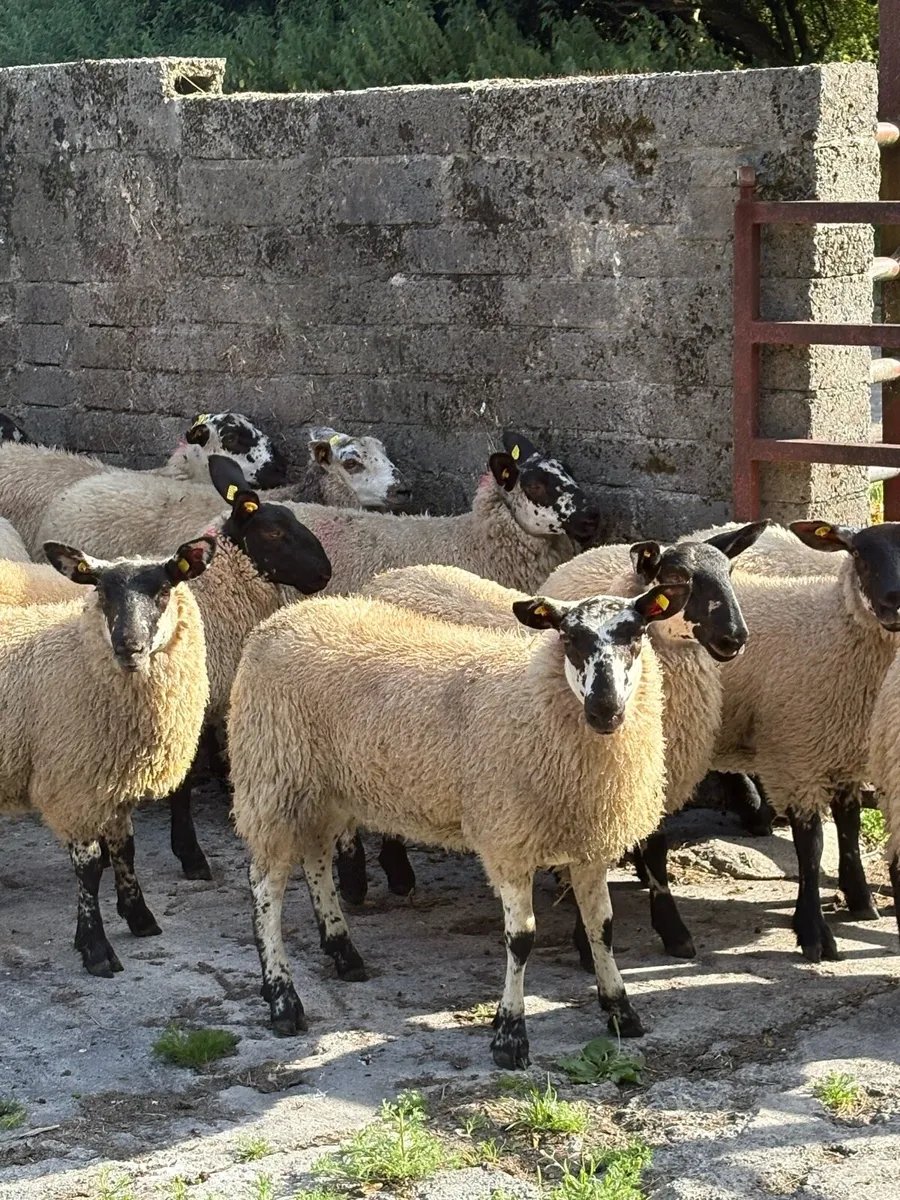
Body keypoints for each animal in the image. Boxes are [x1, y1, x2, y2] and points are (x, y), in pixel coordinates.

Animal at [0, 535, 215, 976]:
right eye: (101, 592)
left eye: (164, 590)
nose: (128, 647)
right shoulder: (74, 785)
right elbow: (88, 867)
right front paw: (95, 947)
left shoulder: (113, 782)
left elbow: (124, 849)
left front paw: (139, 916)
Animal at [228, 582, 691, 1065]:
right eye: (569, 638)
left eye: (636, 634)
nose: (605, 710)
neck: (533, 698)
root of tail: (285, 617)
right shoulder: (508, 837)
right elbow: (521, 939)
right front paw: (510, 1034)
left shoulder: (589, 842)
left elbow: (602, 926)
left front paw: (621, 1009)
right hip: (274, 777)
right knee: (266, 886)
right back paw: (282, 998)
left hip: (326, 788)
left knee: (316, 858)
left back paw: (343, 952)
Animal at [710, 520, 900, 961]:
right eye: (858, 553)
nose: (894, 604)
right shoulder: (797, 755)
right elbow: (811, 846)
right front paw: (813, 931)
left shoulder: (846, 750)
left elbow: (848, 825)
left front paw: (860, 899)